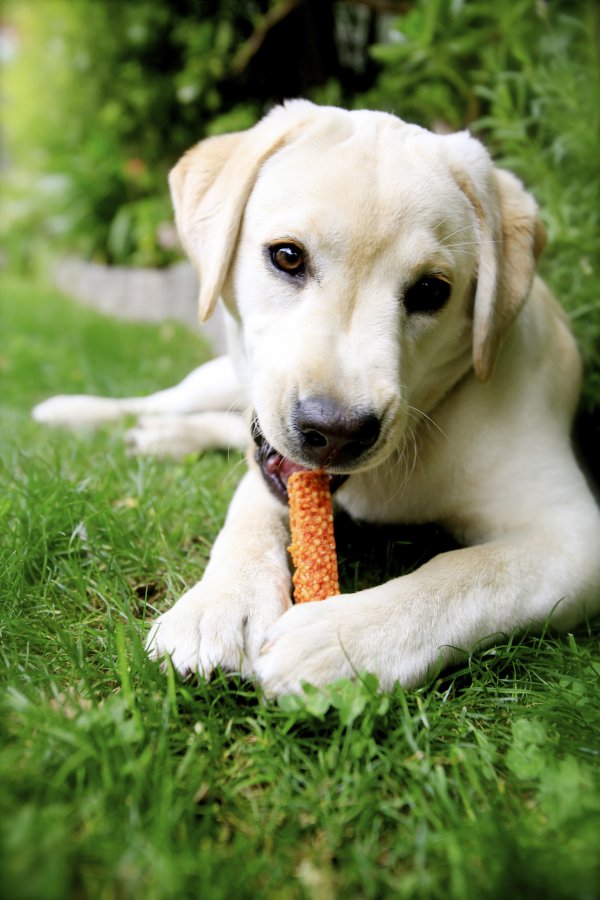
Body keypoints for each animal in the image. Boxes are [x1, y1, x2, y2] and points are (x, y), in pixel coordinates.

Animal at [31, 103, 600, 696]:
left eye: (431, 291)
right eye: (287, 256)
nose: (336, 432)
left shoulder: (572, 534)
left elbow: (468, 572)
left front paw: (341, 638)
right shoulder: (268, 462)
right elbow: (247, 516)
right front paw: (220, 604)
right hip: (215, 381)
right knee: (162, 400)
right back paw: (80, 413)